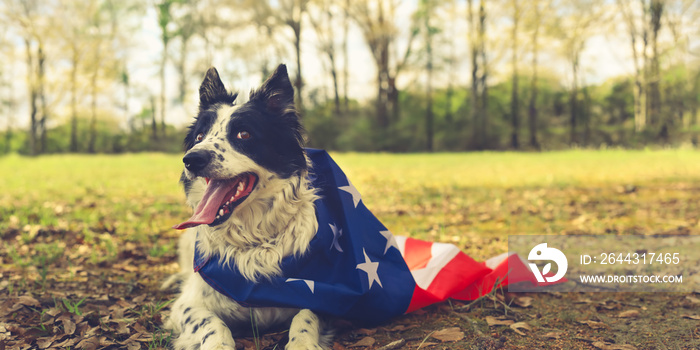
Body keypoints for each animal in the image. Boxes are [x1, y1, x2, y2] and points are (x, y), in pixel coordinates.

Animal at [163, 64, 330, 348]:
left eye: (244, 134)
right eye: (199, 136)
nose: (191, 159)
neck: (252, 239)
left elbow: (305, 318)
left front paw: (302, 343)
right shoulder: (188, 304)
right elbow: (211, 324)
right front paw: (217, 343)